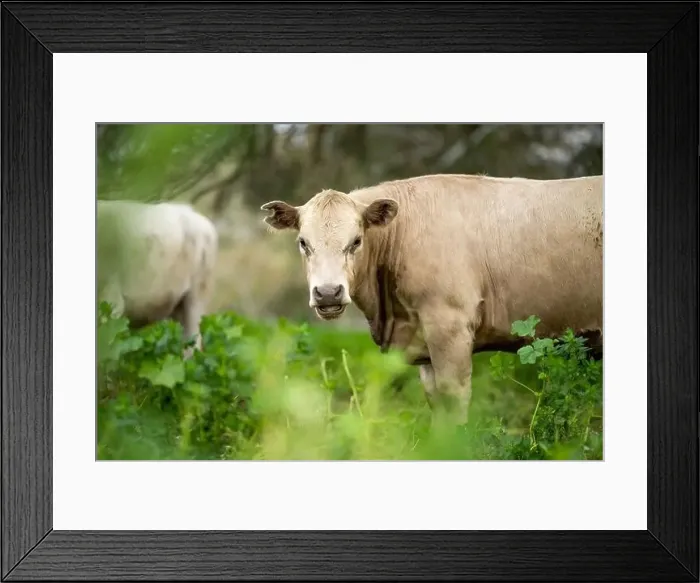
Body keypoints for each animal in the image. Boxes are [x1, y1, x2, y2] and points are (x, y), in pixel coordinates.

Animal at [261, 173, 603, 423]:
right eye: (303, 242)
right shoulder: (422, 343)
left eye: (356, 241)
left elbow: (454, 399)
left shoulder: (449, 328)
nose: (328, 292)